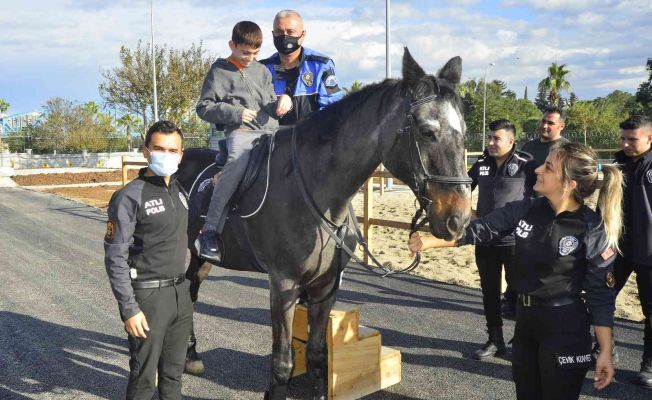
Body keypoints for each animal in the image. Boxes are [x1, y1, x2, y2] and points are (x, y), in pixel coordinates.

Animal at [176, 48, 472, 398]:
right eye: (427, 131)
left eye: (464, 132)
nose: (459, 218)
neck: (314, 191)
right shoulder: (284, 286)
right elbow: (282, 361)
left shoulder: (325, 288)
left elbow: (318, 354)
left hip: (202, 261)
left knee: (192, 292)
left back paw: (191, 355)